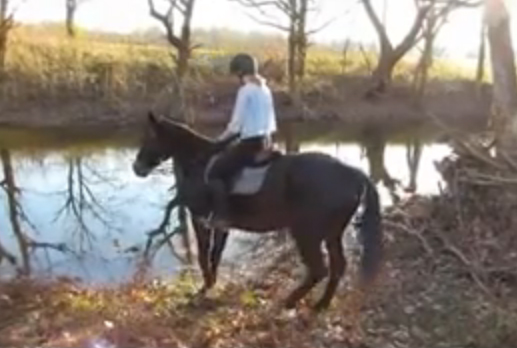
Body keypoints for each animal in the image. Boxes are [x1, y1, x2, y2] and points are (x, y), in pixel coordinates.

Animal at [133, 112, 382, 312]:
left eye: (151, 136)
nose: (137, 168)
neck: (199, 163)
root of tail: (352, 173)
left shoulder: (199, 220)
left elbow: (204, 256)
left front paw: (203, 289)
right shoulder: (222, 226)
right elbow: (215, 255)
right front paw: (212, 285)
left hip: (307, 233)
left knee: (319, 269)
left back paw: (289, 301)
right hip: (332, 234)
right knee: (338, 267)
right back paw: (321, 305)